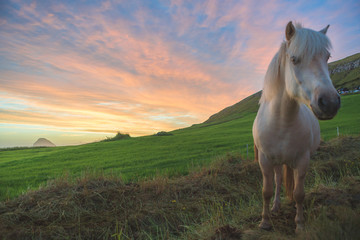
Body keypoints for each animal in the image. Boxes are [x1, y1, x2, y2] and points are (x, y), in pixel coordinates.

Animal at [252, 21, 338, 232]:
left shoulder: (302, 160)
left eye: (327, 57)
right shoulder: (265, 160)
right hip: (275, 162)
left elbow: (299, 193)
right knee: (277, 180)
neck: (282, 121)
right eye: (293, 59)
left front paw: (299, 224)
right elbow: (266, 190)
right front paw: (265, 222)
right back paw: (275, 206)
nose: (330, 103)